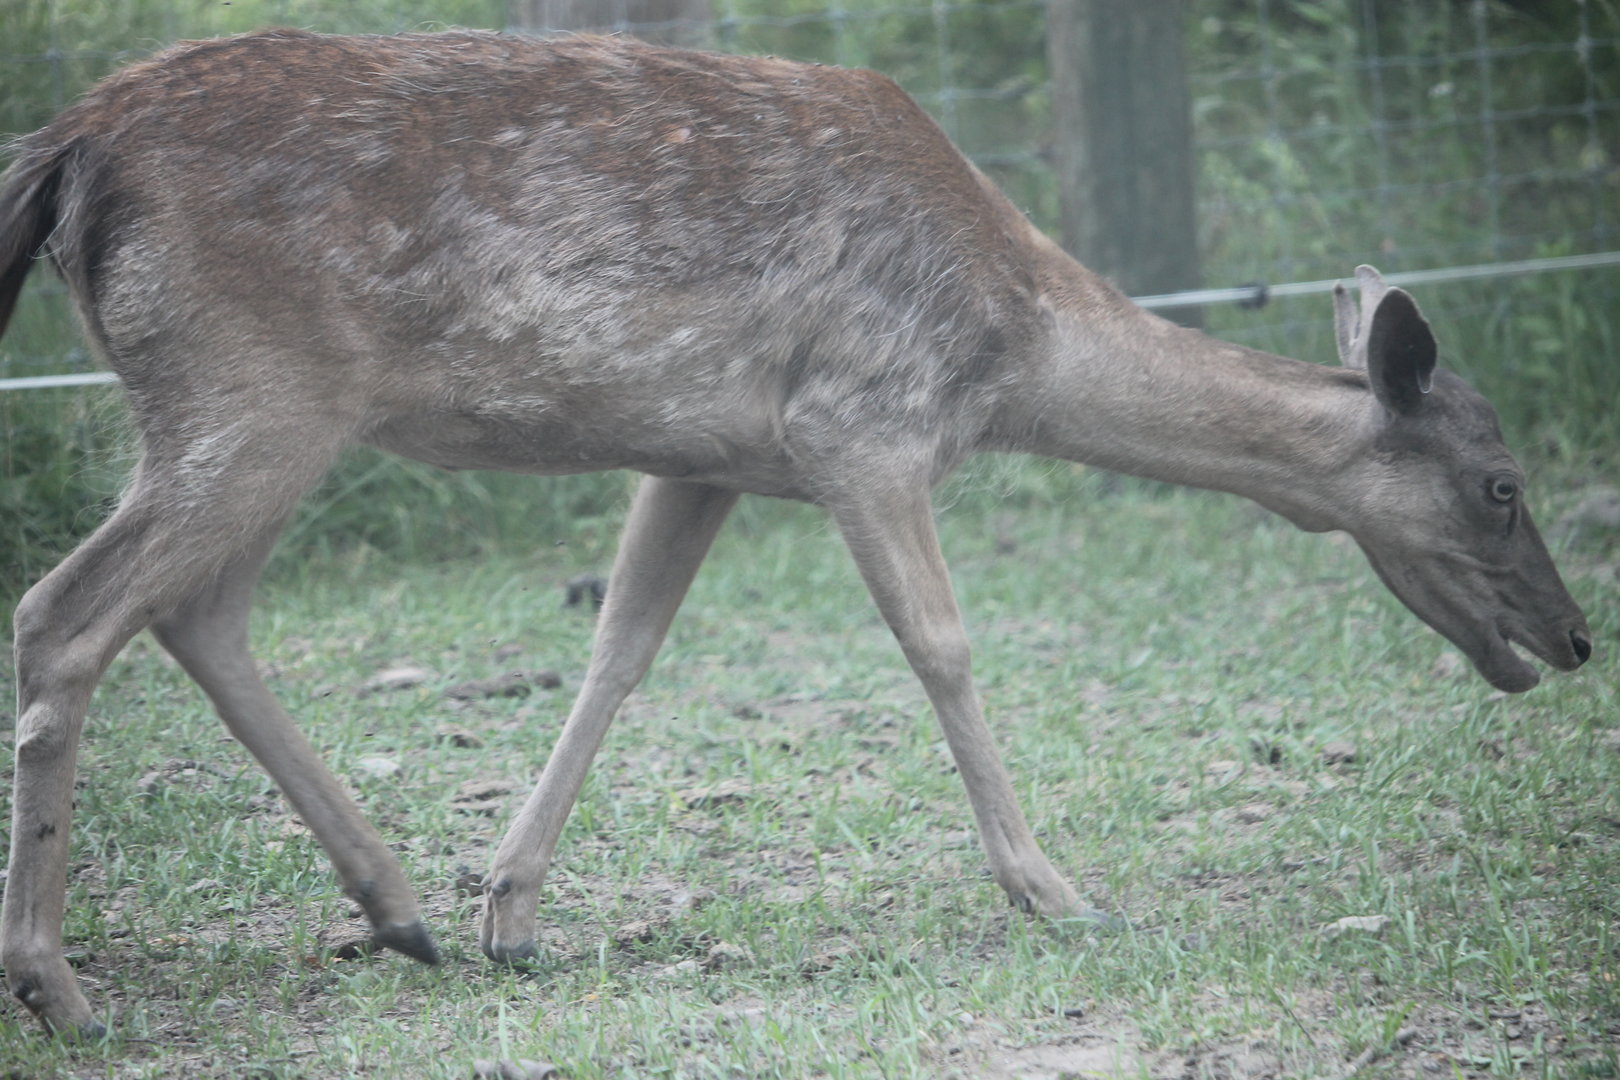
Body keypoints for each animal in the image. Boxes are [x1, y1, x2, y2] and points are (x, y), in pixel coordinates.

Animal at [0, 29, 1592, 1037]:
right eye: (1501, 483)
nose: (1574, 638)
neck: (1013, 351)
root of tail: (70, 150)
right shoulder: (861, 421)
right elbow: (942, 646)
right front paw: (1056, 893)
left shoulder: (703, 456)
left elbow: (621, 646)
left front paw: (514, 908)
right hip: (249, 390)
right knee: (69, 611)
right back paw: (63, 989)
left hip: (251, 410)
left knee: (194, 614)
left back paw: (400, 911)